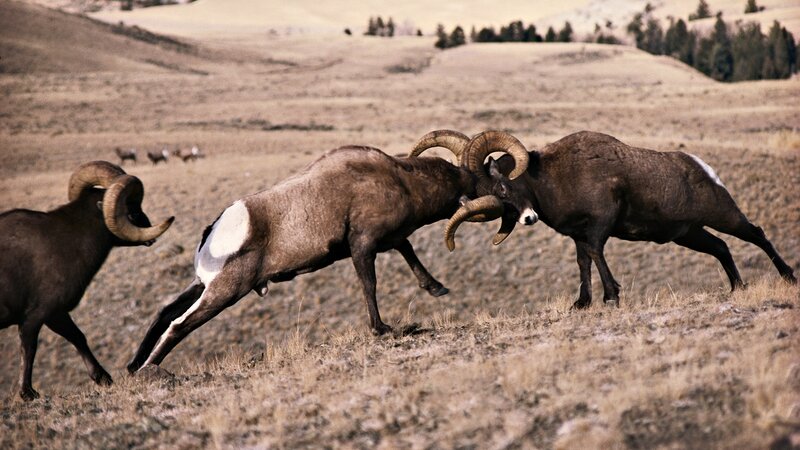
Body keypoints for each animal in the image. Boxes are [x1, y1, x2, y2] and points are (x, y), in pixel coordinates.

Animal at [0, 161, 174, 400]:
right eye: (131, 207)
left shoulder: (53, 315)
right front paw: (28, 393)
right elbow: (32, 348)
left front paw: (103, 379)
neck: (64, 241)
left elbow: (78, 338)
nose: (149, 232)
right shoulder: (41, 315)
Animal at [126, 131, 536, 372]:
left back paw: (133, 365)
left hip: (202, 286)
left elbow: (407, 250)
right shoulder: (363, 247)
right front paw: (383, 329)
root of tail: (216, 230)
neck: (402, 181)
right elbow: (369, 285)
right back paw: (150, 371)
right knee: (179, 325)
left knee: (165, 312)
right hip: (225, 291)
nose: (529, 216)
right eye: (501, 186)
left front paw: (436, 288)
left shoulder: (387, 240)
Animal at [446, 130, 797, 309]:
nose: (528, 218)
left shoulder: (600, 225)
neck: (554, 179)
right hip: (690, 234)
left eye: (504, 188)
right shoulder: (579, 236)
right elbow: (584, 262)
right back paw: (737, 288)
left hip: (724, 216)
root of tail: (702, 168)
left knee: (757, 234)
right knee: (722, 248)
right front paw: (583, 303)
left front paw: (611, 297)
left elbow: (596, 254)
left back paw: (788, 277)